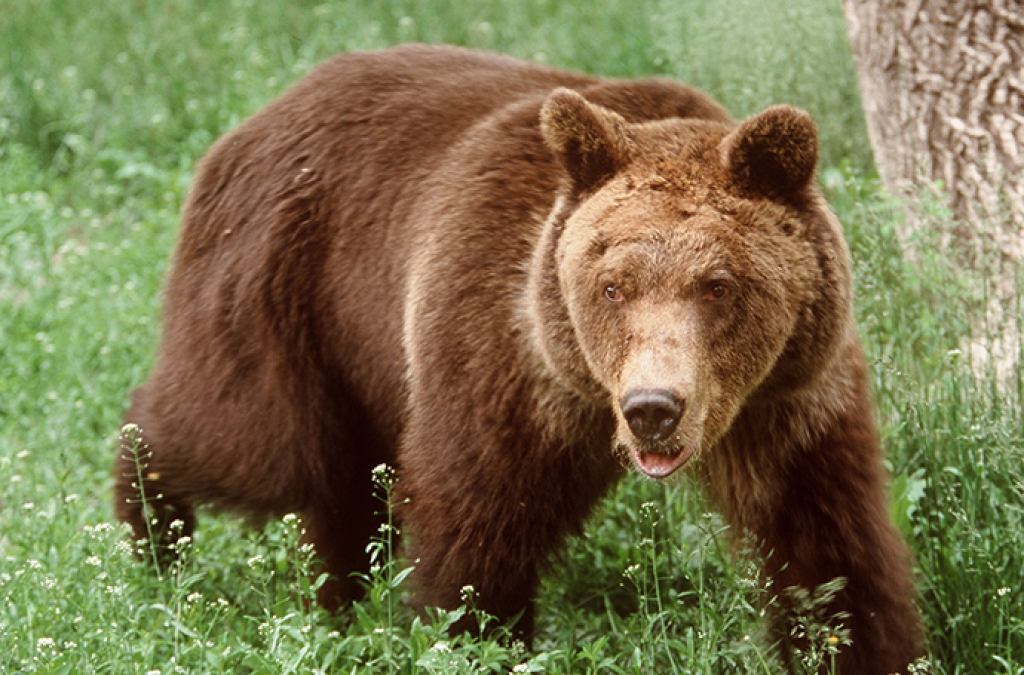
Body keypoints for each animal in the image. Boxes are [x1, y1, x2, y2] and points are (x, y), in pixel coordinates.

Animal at [116, 44, 925, 671]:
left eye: (718, 284)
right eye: (611, 285)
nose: (654, 409)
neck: (585, 388)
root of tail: (252, 119)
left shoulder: (790, 398)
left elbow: (829, 548)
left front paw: (860, 643)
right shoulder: (502, 356)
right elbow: (475, 529)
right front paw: (476, 637)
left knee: (339, 483)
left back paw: (338, 598)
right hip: (284, 285)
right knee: (253, 440)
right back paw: (151, 529)